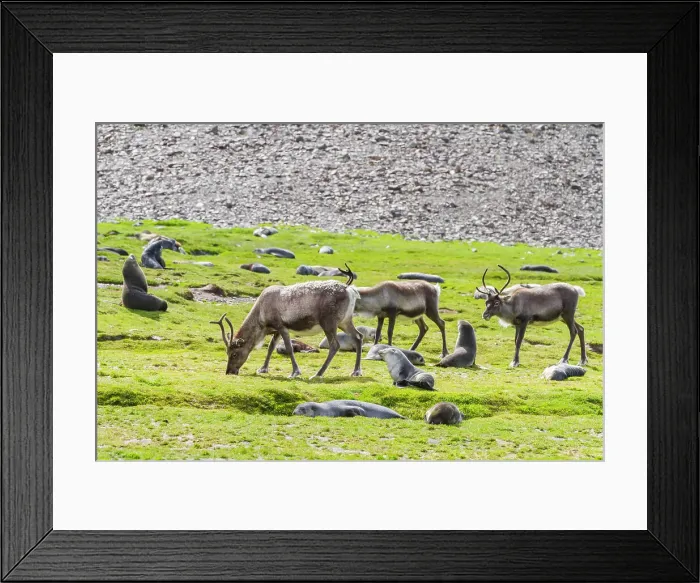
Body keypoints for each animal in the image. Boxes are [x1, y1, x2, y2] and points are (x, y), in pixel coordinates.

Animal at [210, 265, 363, 379]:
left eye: (234, 354)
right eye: (227, 352)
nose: (229, 372)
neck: (261, 316)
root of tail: (350, 289)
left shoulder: (281, 326)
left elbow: (289, 348)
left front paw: (295, 372)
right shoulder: (276, 329)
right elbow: (271, 347)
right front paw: (263, 369)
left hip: (329, 322)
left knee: (335, 345)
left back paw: (318, 374)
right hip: (345, 321)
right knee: (358, 336)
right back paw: (356, 371)